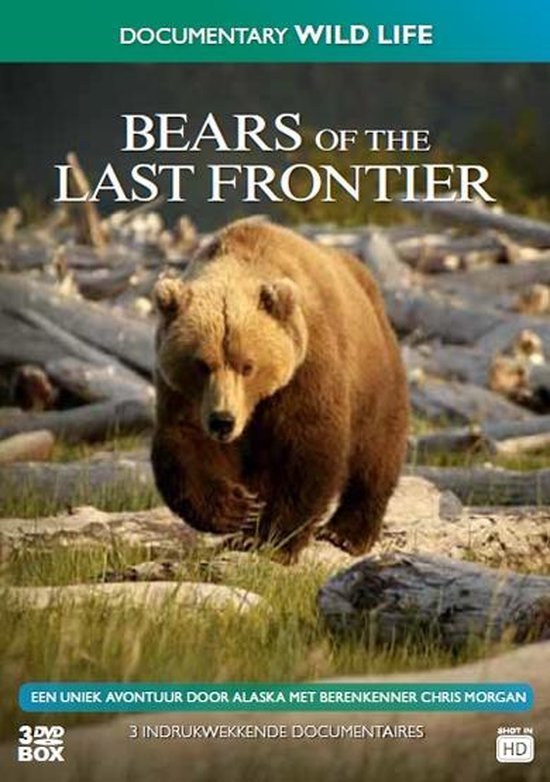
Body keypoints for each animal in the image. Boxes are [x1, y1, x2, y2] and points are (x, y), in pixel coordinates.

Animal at [151, 219, 409, 563]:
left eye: (247, 366)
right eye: (202, 364)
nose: (223, 421)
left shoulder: (306, 369)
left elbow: (306, 448)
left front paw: (273, 539)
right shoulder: (184, 392)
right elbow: (184, 441)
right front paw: (237, 510)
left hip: (374, 377)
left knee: (377, 453)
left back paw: (345, 533)